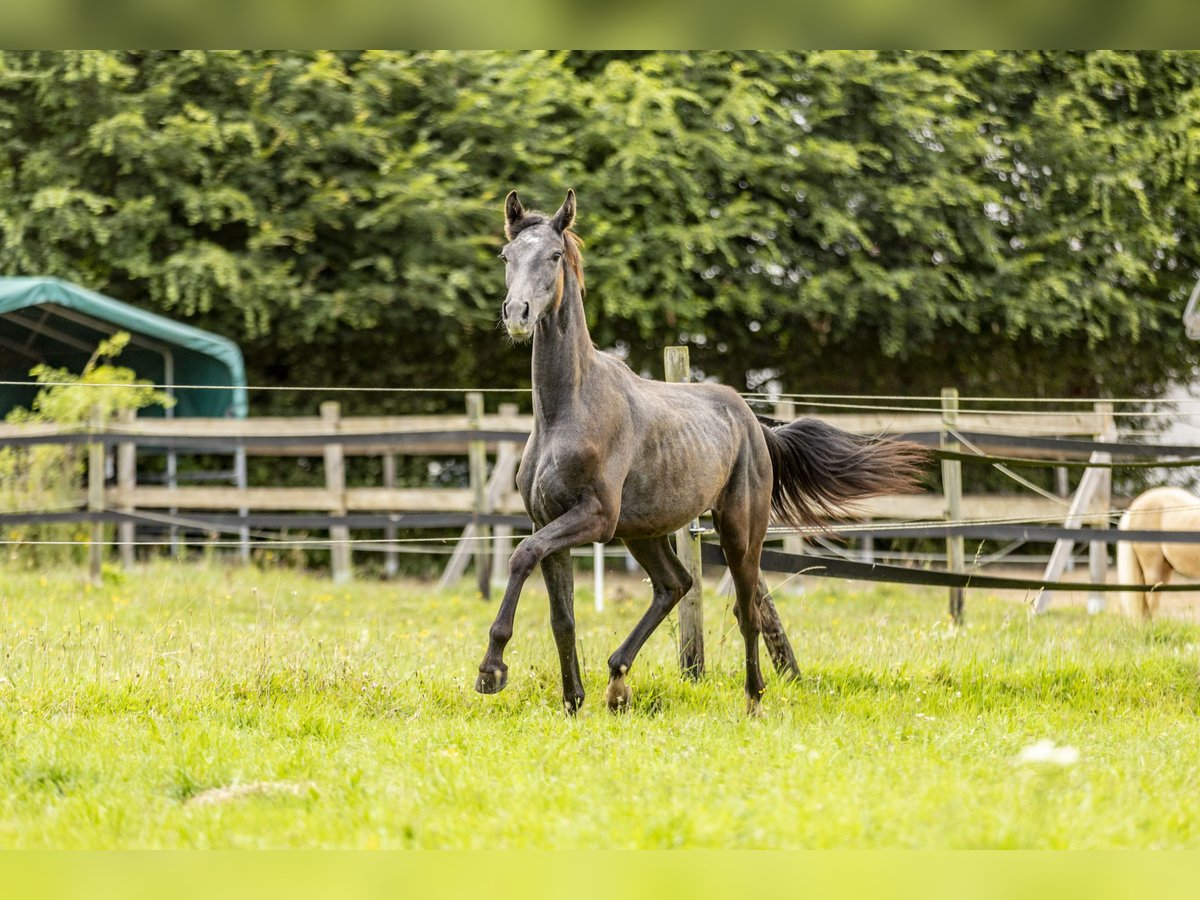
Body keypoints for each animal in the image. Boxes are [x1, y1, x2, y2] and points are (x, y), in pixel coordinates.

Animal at [472, 188, 921, 710]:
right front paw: (572, 702)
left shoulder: (595, 517)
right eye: (507, 256)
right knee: (675, 585)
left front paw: (492, 670)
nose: (517, 314)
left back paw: (753, 700)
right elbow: (561, 617)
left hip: (739, 531)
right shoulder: (548, 520)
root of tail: (753, 423)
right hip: (644, 531)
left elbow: (521, 555)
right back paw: (618, 682)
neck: (567, 410)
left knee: (746, 610)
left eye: (555, 255)